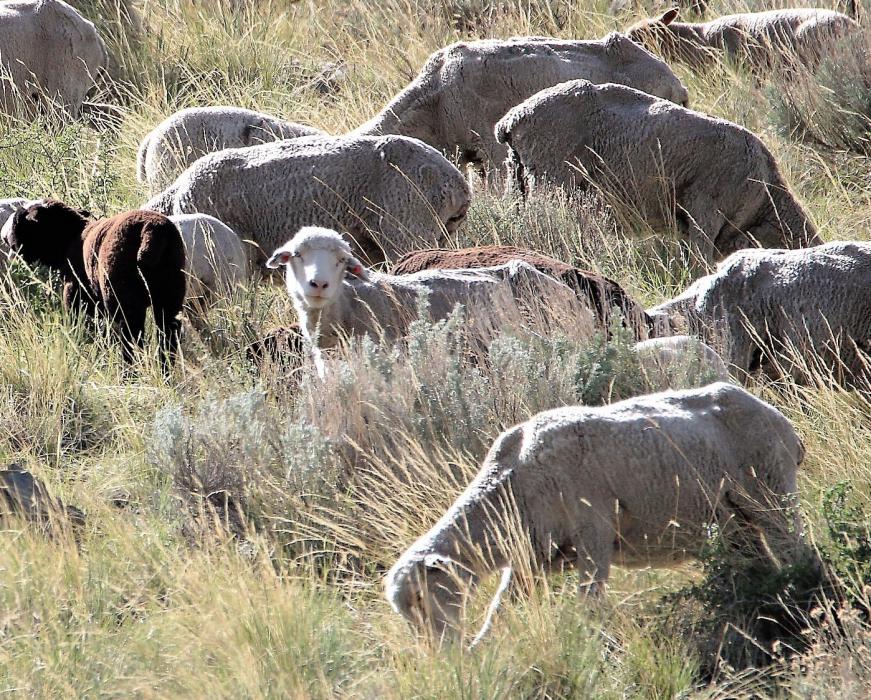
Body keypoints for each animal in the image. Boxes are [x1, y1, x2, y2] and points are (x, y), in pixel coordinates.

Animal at [1, 200, 186, 369]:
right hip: (170, 296)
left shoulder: (74, 295)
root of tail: (151, 232)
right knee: (167, 338)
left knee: (131, 339)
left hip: (124, 299)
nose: (5, 238)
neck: (69, 238)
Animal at [385, 382, 813, 644]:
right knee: (759, 563)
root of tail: (783, 421)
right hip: (736, 519)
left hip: (771, 486)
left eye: (421, 598)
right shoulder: (532, 559)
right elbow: (501, 609)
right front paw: (480, 649)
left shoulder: (593, 533)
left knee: (798, 551)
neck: (511, 478)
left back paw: (806, 602)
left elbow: (589, 603)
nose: (440, 654)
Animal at [495, 80, 821, 262]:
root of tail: (511, 120)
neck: (766, 200)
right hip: (552, 178)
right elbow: (699, 262)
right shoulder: (704, 209)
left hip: (517, 177)